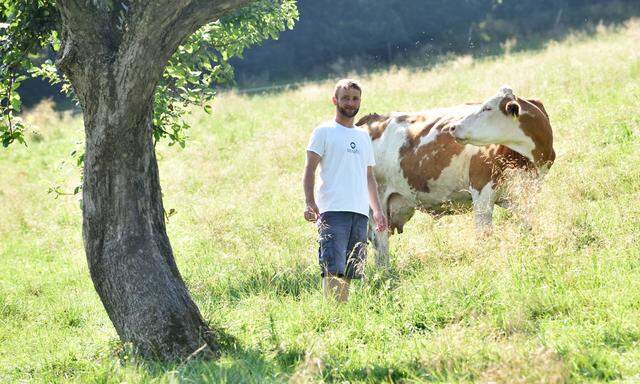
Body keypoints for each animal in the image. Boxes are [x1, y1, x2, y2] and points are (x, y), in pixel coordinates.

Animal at [356, 86, 556, 266]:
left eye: (487, 108)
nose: (453, 127)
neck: (527, 158)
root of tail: (371, 119)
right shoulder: (482, 190)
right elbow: (484, 235)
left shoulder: (525, 193)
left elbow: (528, 223)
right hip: (377, 205)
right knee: (380, 243)